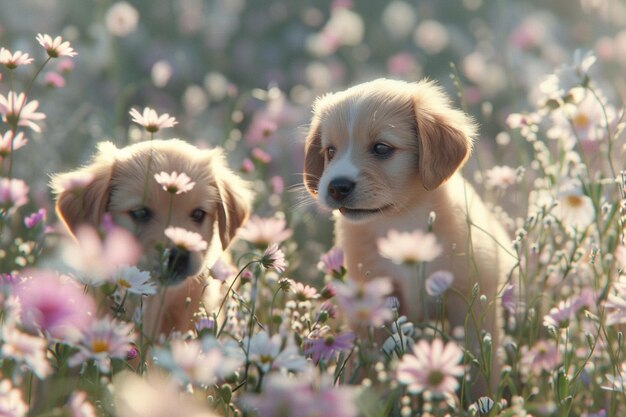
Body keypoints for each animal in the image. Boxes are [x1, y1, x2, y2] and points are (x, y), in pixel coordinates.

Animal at [302, 79, 512, 396]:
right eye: (330, 151)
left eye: (381, 148)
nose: (336, 186)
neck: (402, 222)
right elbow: (368, 362)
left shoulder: (469, 301)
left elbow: (479, 366)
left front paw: (480, 401)